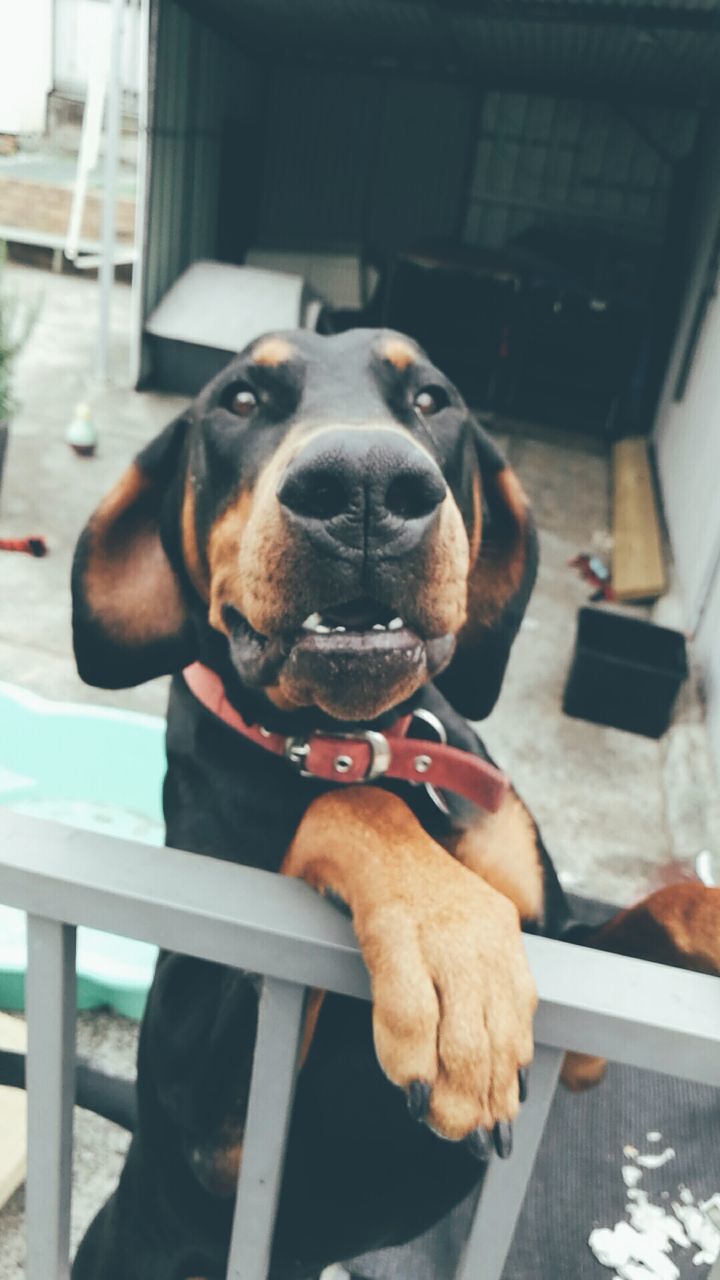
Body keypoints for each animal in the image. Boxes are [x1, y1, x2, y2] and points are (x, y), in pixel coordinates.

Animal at [68, 327, 717, 1280]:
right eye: (240, 399)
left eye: (432, 400)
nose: (366, 486)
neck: (365, 736)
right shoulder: (216, 1138)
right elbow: (350, 810)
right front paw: (451, 955)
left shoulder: (580, 1044)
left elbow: (674, 901)